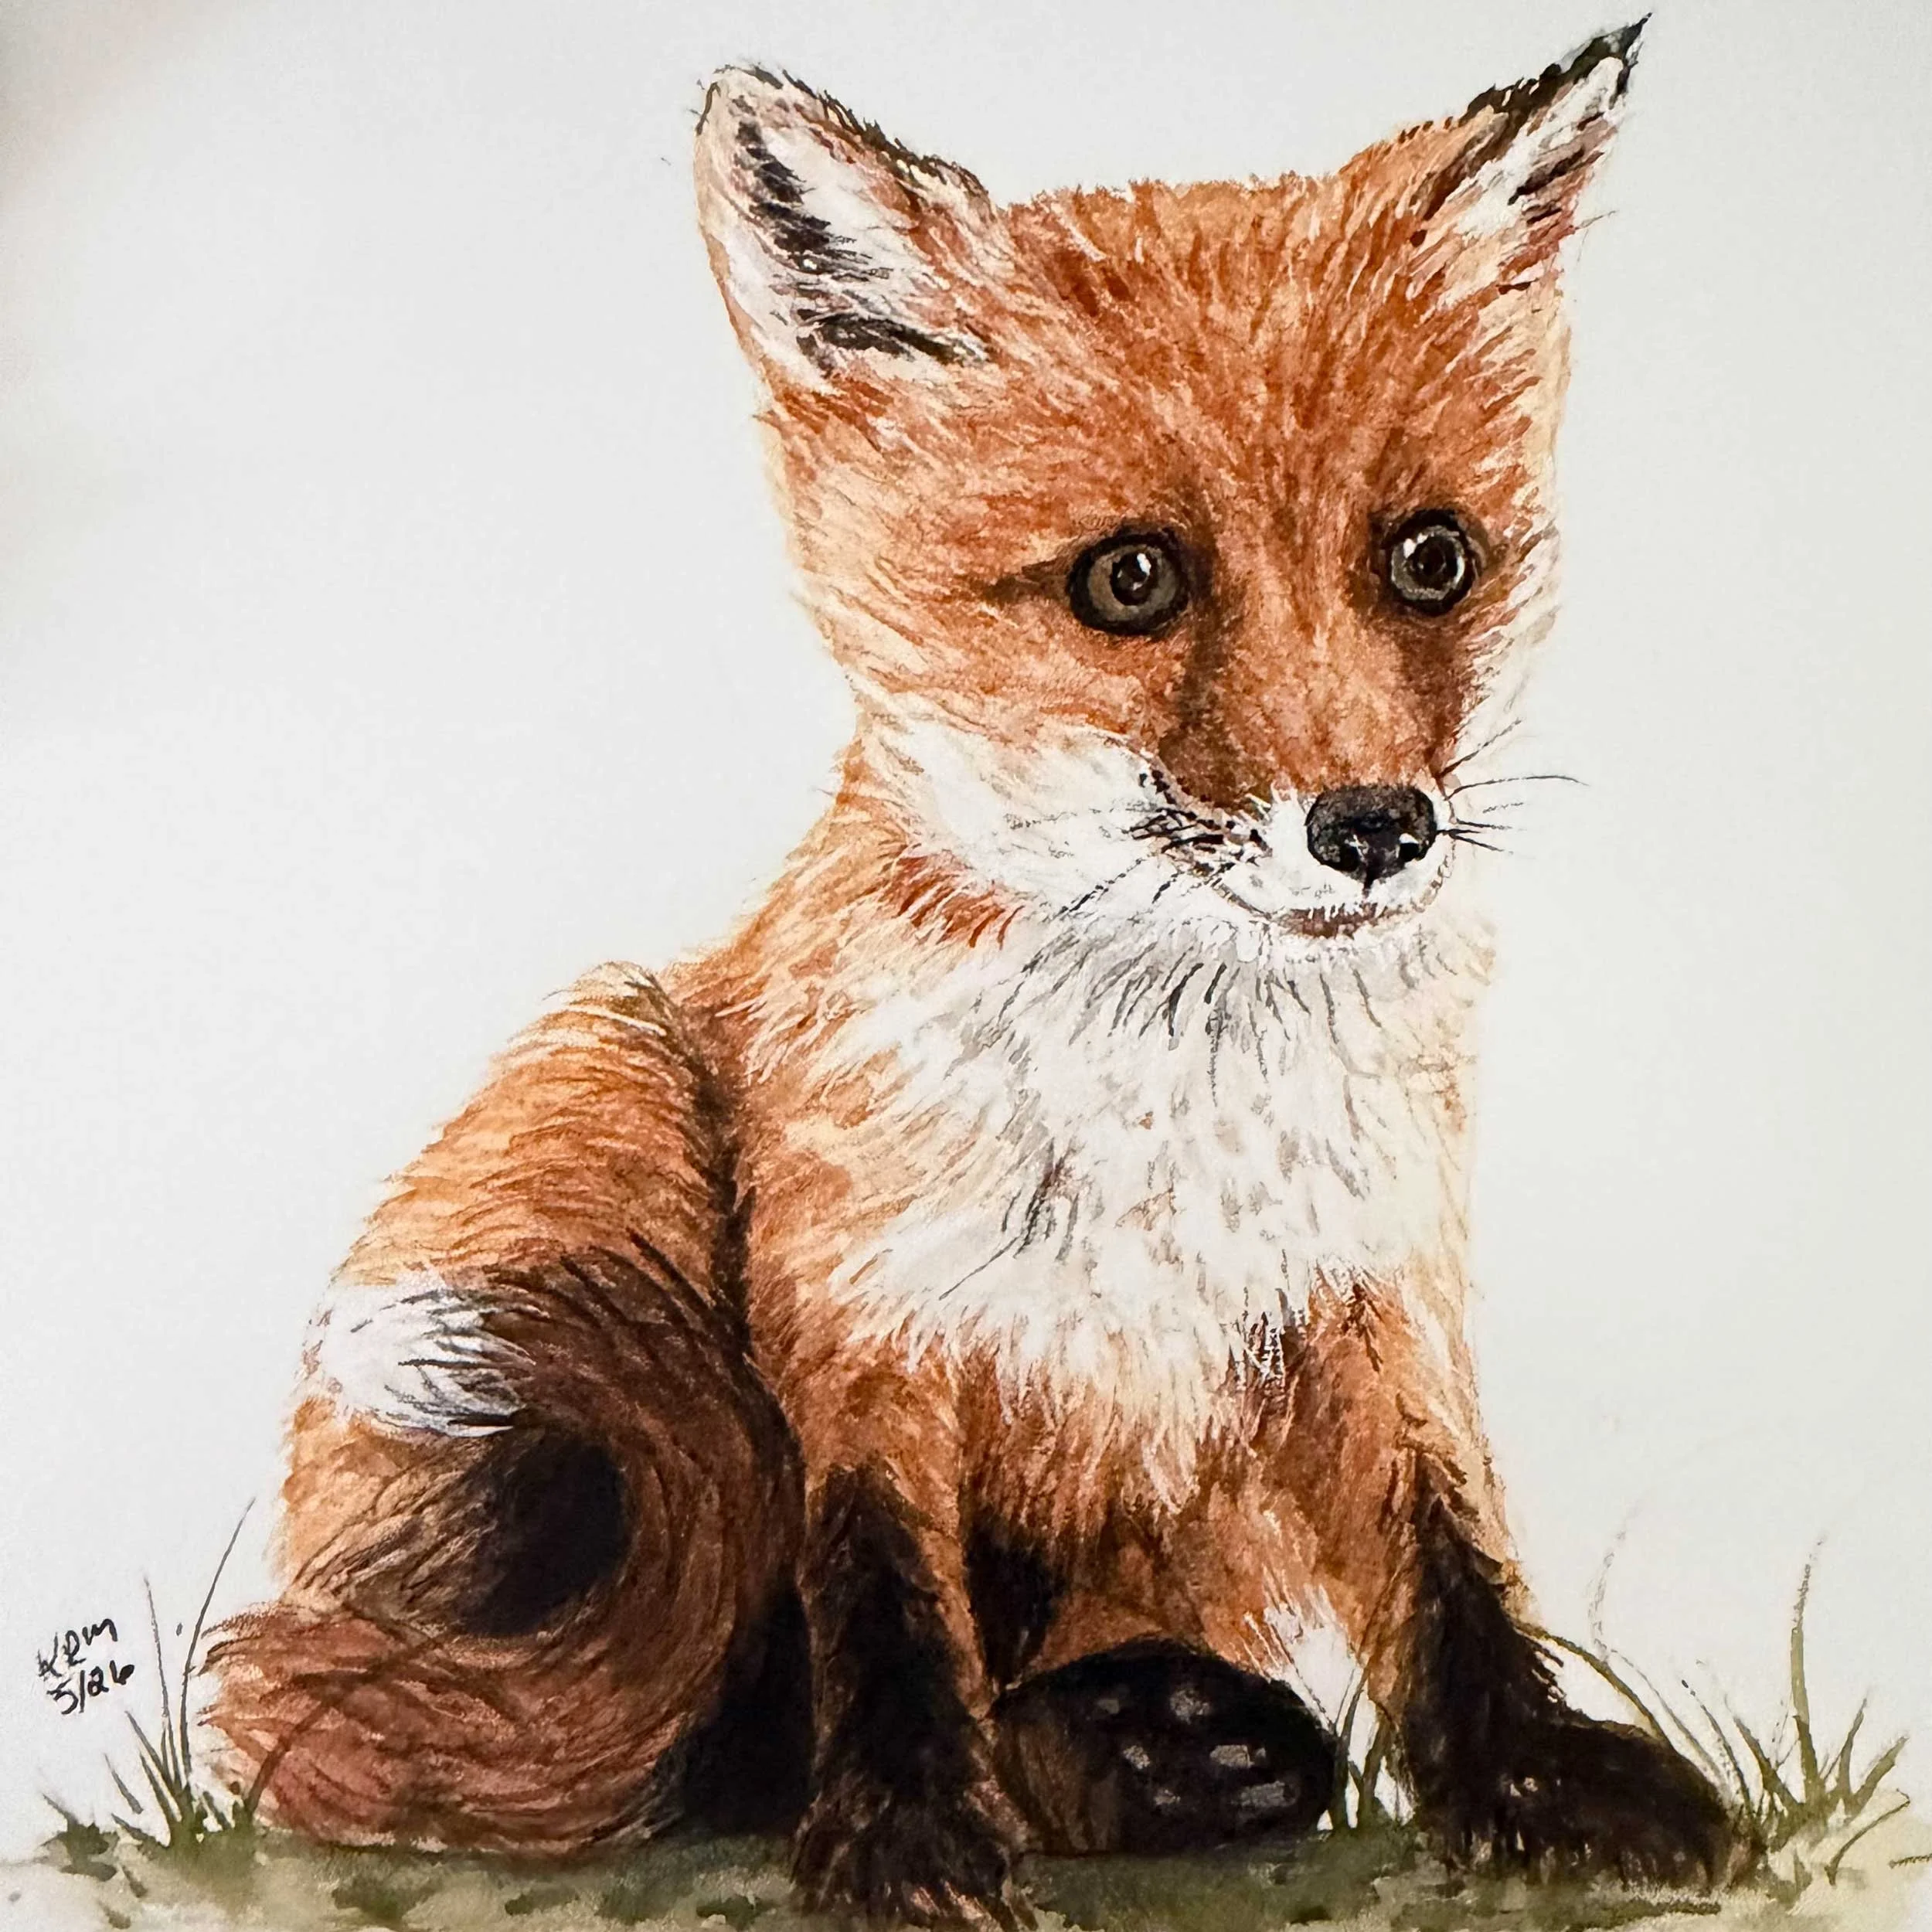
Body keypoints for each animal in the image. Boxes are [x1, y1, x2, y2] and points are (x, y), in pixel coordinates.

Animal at [207, 22, 1745, 1925]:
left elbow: (1445, 1560)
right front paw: (907, 1830)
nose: (1377, 828)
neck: (1170, 1119)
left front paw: (1529, 1774)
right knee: (618, 1730)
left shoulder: (1371, 1296)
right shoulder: (863, 1314)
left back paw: (1149, 1744)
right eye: (1130, 580)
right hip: (601, 1089)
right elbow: (882, 1607)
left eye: (1430, 559)